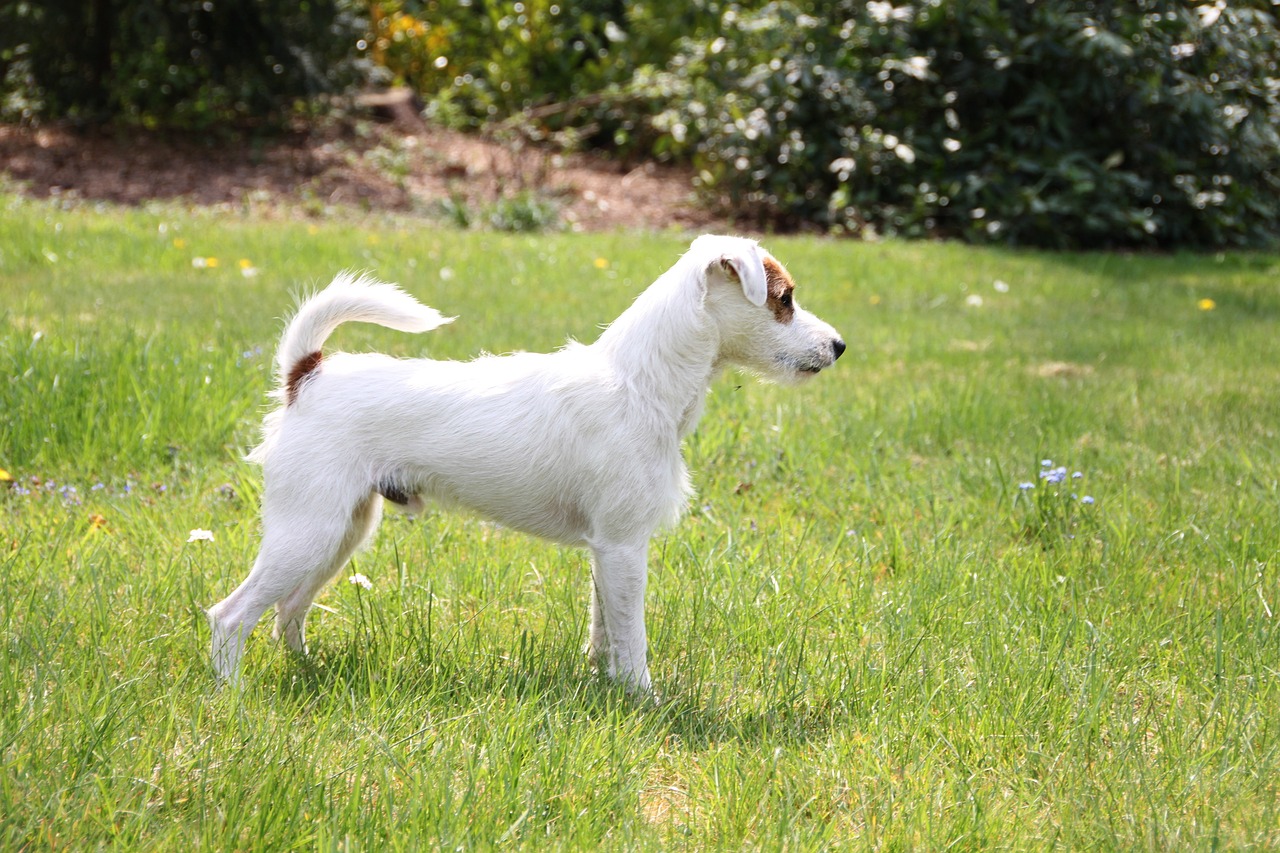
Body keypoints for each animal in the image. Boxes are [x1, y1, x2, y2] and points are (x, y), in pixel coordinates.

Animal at [209, 234, 844, 691]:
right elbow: (632, 637)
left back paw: (308, 673)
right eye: (784, 300)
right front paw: (644, 699)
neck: (638, 382)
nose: (838, 346)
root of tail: (308, 375)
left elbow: (605, 628)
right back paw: (233, 697)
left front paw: (606, 685)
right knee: (231, 616)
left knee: (288, 611)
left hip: (342, 532)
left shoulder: (607, 553)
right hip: (308, 532)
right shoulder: (623, 546)